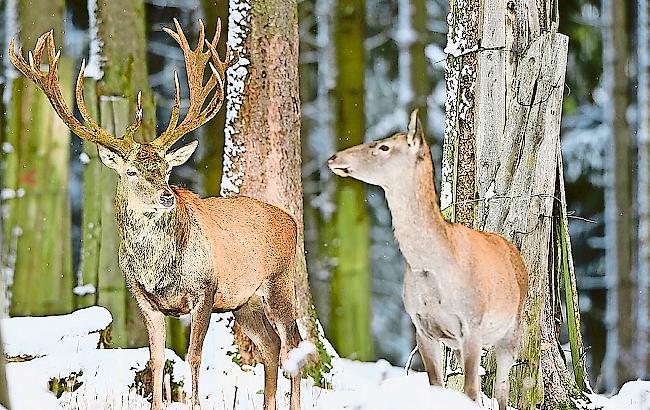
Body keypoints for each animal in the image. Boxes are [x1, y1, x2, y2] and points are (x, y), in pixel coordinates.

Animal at [10, 20, 302, 410]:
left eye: (166, 169)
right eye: (132, 171)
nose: (167, 197)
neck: (156, 268)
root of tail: (291, 220)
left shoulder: (205, 290)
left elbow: (193, 356)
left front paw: (196, 403)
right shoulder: (143, 298)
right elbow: (158, 358)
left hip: (280, 281)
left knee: (294, 344)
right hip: (245, 300)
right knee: (271, 345)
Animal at [326, 109, 528, 410]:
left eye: (384, 147)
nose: (334, 157)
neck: (433, 269)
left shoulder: (472, 323)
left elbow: (470, 390)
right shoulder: (422, 326)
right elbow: (438, 386)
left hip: (512, 328)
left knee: (501, 391)